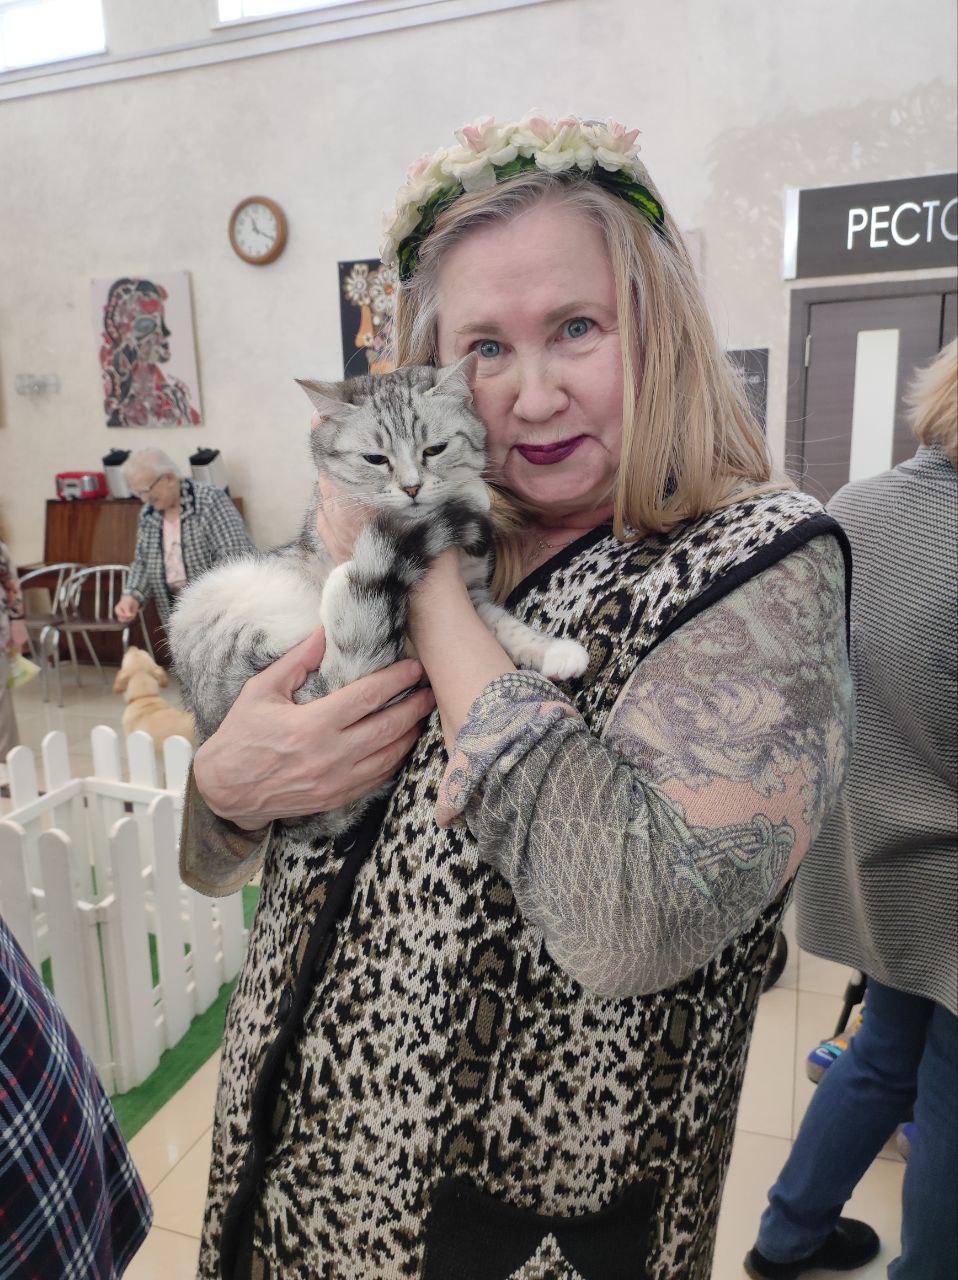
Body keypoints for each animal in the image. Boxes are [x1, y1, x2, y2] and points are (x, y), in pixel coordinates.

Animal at [167, 354, 589, 838]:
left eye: (434, 449)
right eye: (375, 459)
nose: (412, 488)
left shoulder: (472, 596)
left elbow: (506, 627)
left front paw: (555, 652)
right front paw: (474, 494)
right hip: (222, 598)